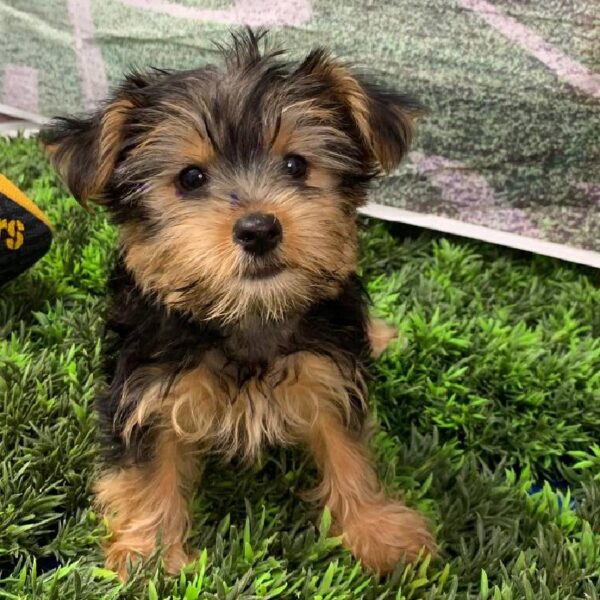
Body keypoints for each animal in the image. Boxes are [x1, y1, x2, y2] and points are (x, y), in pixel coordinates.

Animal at [42, 30, 436, 580]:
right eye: (190, 178)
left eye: (296, 165)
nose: (258, 228)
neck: (246, 315)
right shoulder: (146, 390)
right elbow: (147, 471)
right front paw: (149, 556)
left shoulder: (330, 371)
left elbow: (348, 449)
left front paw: (376, 530)